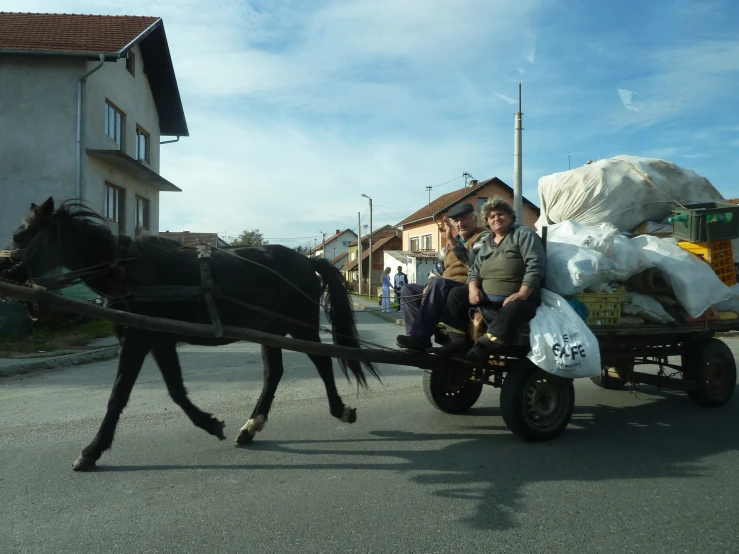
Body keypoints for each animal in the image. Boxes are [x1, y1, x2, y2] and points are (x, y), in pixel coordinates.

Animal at [1, 196, 382, 468]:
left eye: (21, 235)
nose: (6, 273)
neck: (128, 271)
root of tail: (306, 261)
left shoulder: (138, 340)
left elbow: (118, 397)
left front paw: (92, 450)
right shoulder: (157, 339)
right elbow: (175, 391)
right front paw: (210, 424)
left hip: (298, 325)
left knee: (322, 361)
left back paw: (340, 410)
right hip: (269, 330)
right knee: (274, 372)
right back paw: (251, 427)